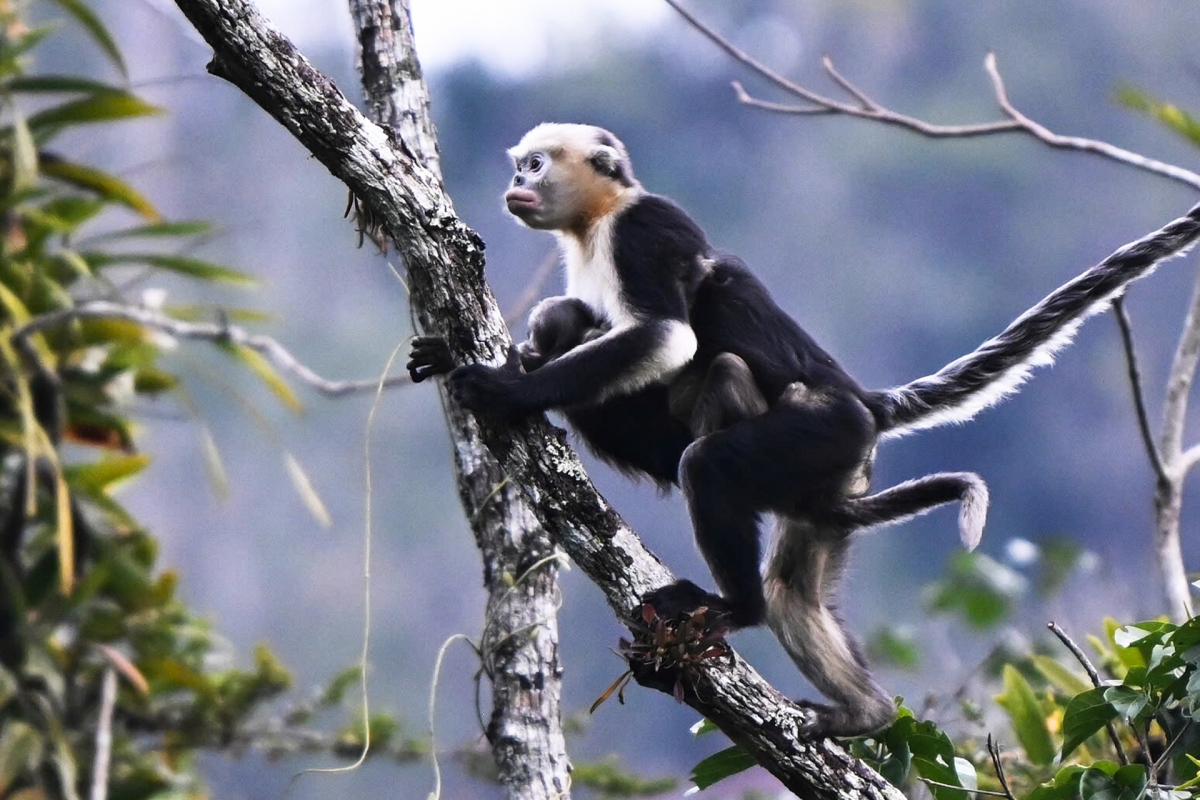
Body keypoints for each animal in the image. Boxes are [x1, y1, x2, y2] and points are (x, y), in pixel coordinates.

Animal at [407, 122, 1200, 736]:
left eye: (535, 164)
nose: (516, 182)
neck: (600, 217)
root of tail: (864, 401)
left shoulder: (642, 234)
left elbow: (666, 338)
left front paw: (507, 386)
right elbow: (578, 328)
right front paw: (469, 358)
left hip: (820, 431)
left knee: (709, 456)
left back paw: (735, 606)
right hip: (831, 478)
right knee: (793, 588)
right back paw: (865, 714)